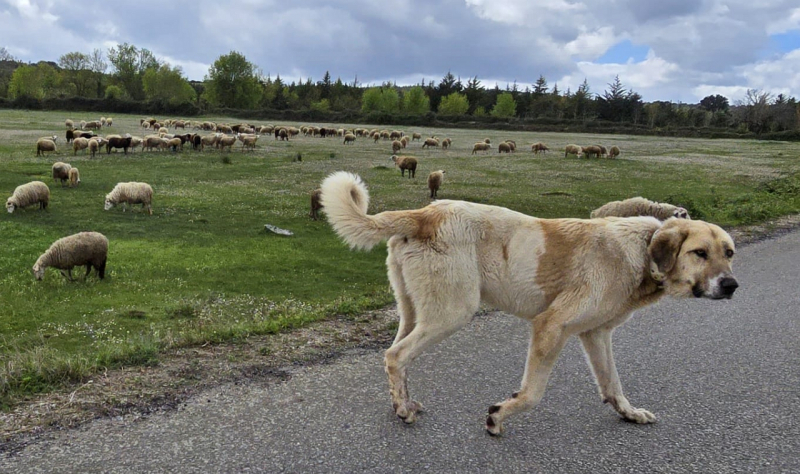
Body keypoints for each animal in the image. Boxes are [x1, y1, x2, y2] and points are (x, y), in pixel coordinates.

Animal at [320, 172, 736, 436]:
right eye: (700, 253)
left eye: (729, 252)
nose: (732, 285)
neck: (642, 251)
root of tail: (424, 213)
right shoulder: (551, 326)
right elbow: (533, 393)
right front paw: (499, 416)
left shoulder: (595, 335)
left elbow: (613, 384)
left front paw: (629, 413)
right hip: (451, 313)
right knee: (396, 356)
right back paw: (404, 410)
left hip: (416, 312)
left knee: (397, 355)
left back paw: (402, 404)